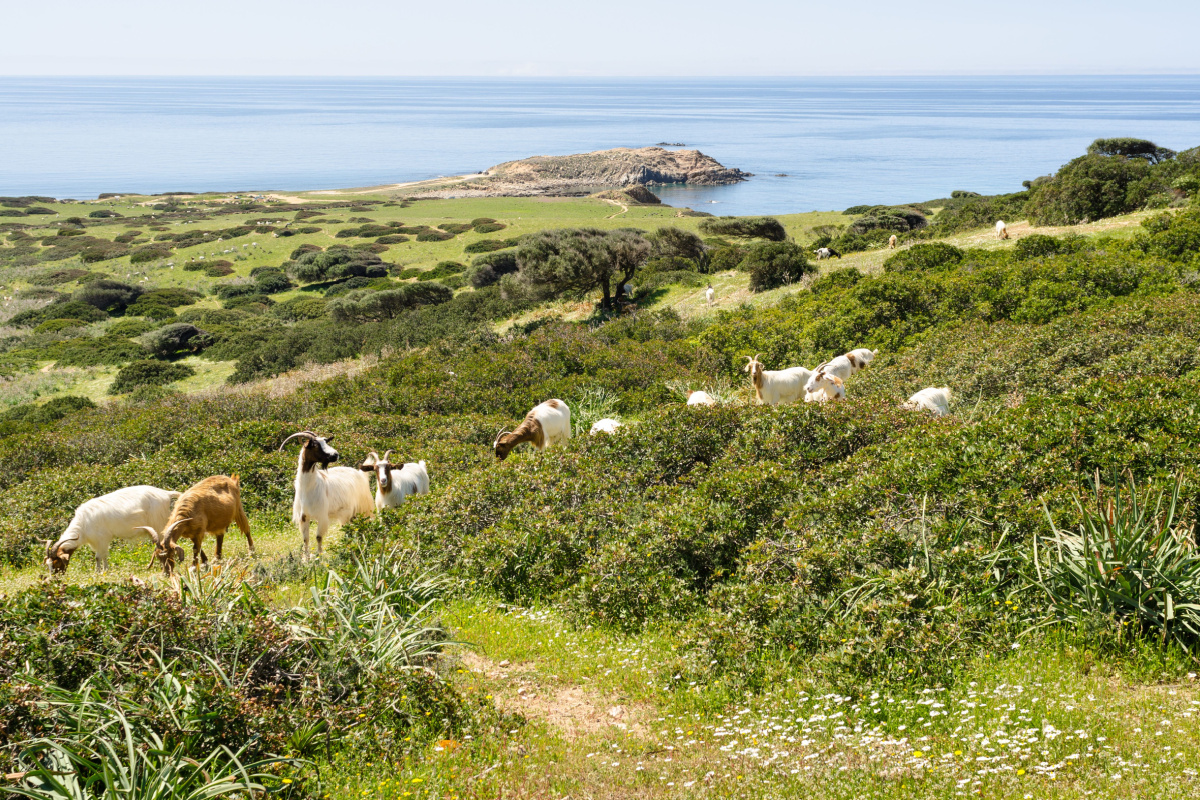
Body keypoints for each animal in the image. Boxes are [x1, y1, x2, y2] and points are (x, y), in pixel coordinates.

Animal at [45, 484, 180, 573]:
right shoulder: (99, 541)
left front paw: (100, 572)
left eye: (57, 562)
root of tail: (166, 494)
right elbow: (103, 556)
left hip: (159, 524)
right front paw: (104, 570)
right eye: (48, 564)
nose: (55, 578)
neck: (83, 525)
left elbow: (99, 556)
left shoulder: (102, 539)